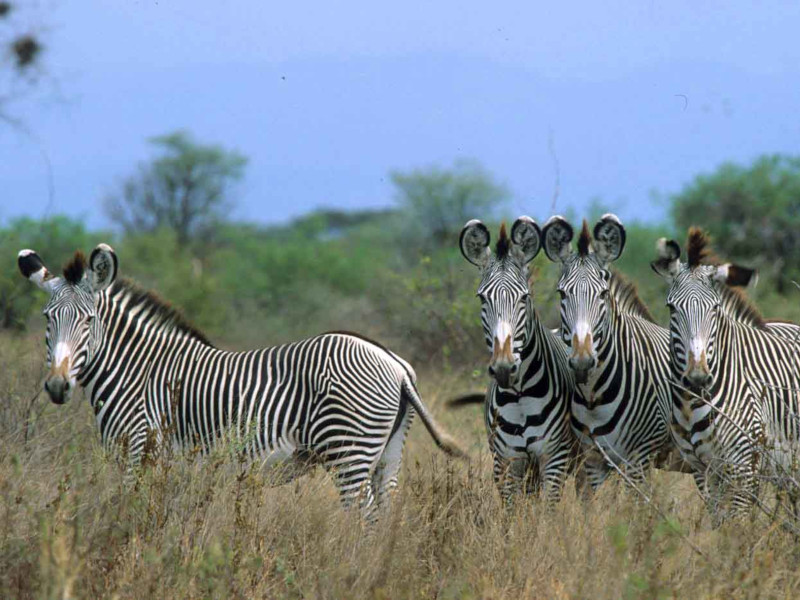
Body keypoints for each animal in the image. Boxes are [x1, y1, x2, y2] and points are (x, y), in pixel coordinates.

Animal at [18, 244, 466, 516]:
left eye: (89, 320)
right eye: (46, 319)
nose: (56, 387)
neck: (137, 371)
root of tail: (395, 362)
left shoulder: (139, 451)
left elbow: (135, 517)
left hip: (349, 453)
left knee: (362, 516)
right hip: (387, 453)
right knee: (382, 517)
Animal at [460, 218, 580, 500]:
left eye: (525, 297)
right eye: (482, 298)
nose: (504, 368)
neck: (521, 397)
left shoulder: (554, 458)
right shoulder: (505, 462)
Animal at [536, 213, 688, 490]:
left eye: (603, 293)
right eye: (561, 293)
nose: (582, 362)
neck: (594, 396)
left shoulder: (640, 457)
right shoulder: (593, 459)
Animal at [648, 230, 800, 520]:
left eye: (715, 309)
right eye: (672, 308)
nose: (696, 378)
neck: (691, 405)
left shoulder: (745, 467)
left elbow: (737, 526)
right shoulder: (703, 469)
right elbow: (719, 523)